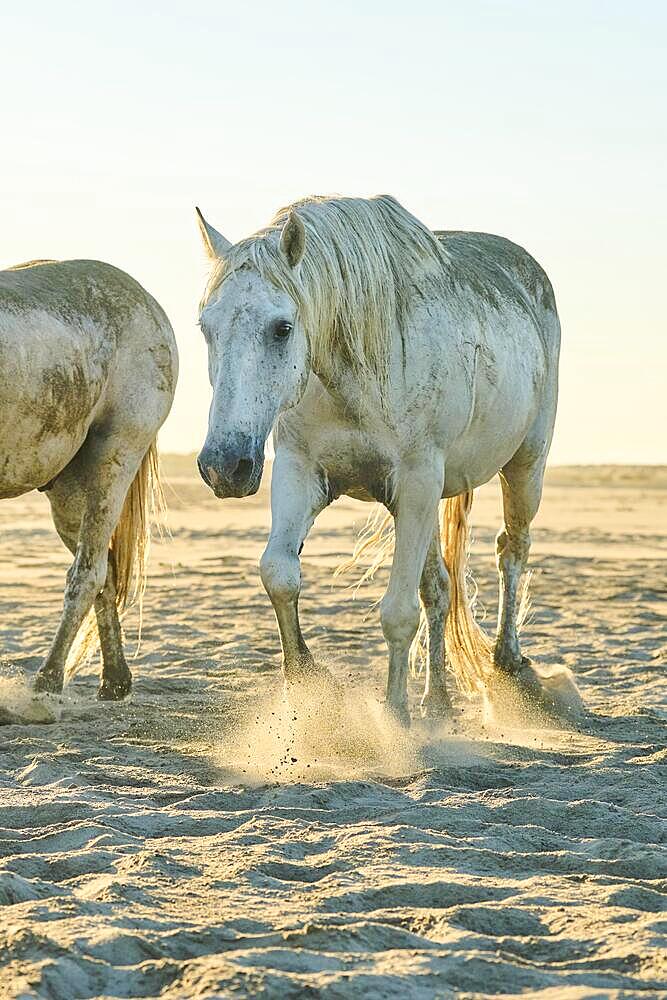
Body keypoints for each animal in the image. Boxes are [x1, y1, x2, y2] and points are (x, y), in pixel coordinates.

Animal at [0, 258, 177, 700]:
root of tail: (147, 300)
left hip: (111, 465)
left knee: (88, 573)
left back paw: (47, 682)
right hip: (68, 493)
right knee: (105, 571)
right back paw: (115, 681)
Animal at [196, 195, 576, 728]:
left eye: (282, 328)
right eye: (206, 328)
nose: (223, 465)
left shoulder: (417, 483)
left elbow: (398, 611)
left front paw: (395, 716)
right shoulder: (300, 472)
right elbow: (279, 574)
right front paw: (306, 684)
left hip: (524, 468)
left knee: (512, 550)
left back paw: (509, 663)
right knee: (439, 588)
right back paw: (436, 701)